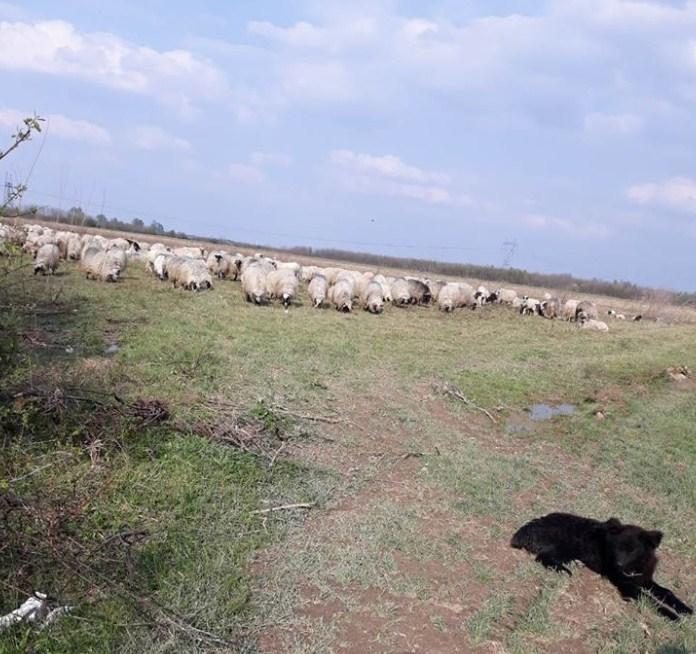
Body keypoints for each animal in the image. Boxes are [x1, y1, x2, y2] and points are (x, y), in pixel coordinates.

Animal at [508, 512, 692, 624]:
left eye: (632, 550)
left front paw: (685, 609)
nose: (618, 564)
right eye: (618, 548)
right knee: (542, 557)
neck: (633, 567)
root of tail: (530, 526)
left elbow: (667, 592)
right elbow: (651, 600)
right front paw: (673, 616)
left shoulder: (645, 579)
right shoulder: (628, 587)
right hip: (567, 545)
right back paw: (564, 570)